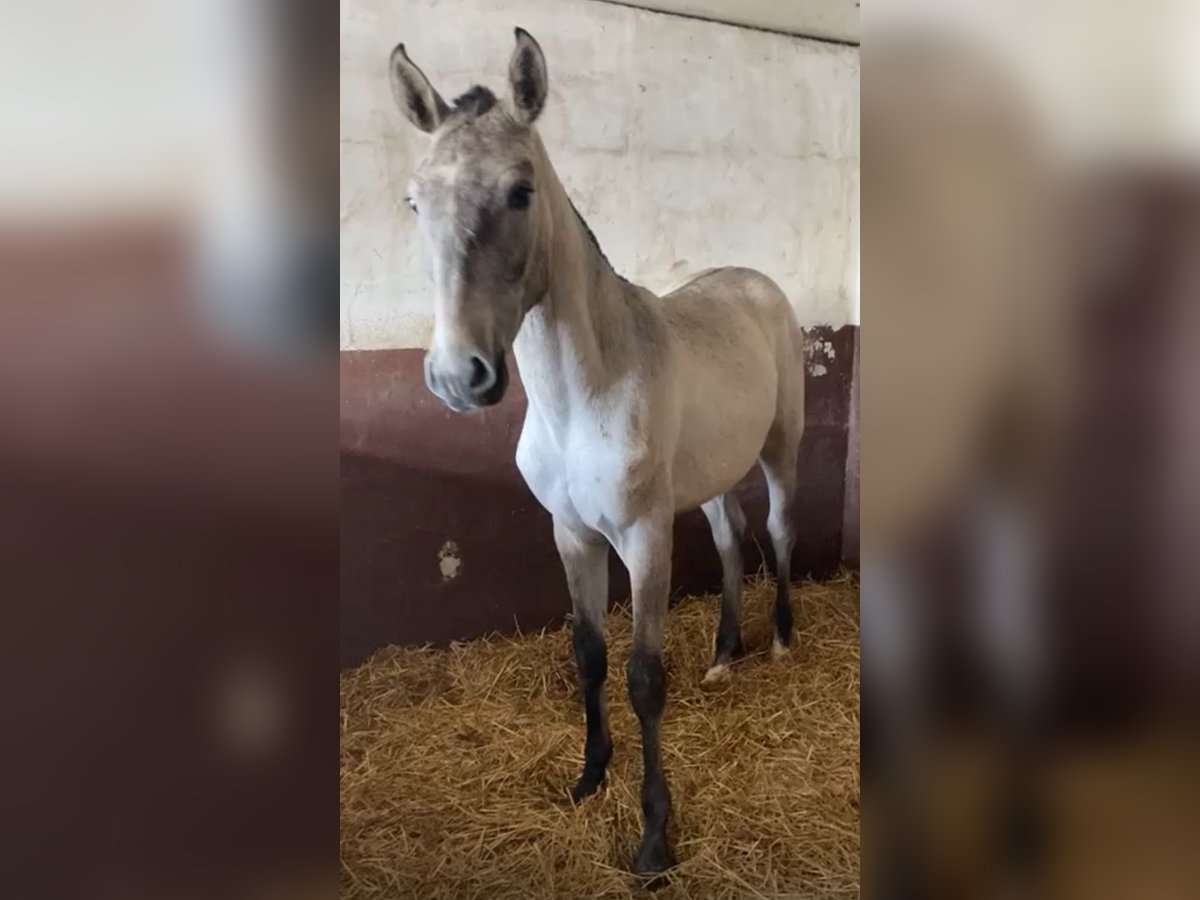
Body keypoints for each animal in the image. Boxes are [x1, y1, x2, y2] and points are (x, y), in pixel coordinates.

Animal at [389, 27, 805, 880]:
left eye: (520, 192)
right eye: (416, 201)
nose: (458, 376)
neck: (581, 396)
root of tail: (757, 284)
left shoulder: (642, 538)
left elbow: (645, 677)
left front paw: (653, 838)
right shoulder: (572, 535)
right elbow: (588, 654)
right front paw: (588, 776)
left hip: (780, 452)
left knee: (779, 532)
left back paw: (779, 643)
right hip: (715, 477)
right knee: (731, 542)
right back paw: (725, 655)